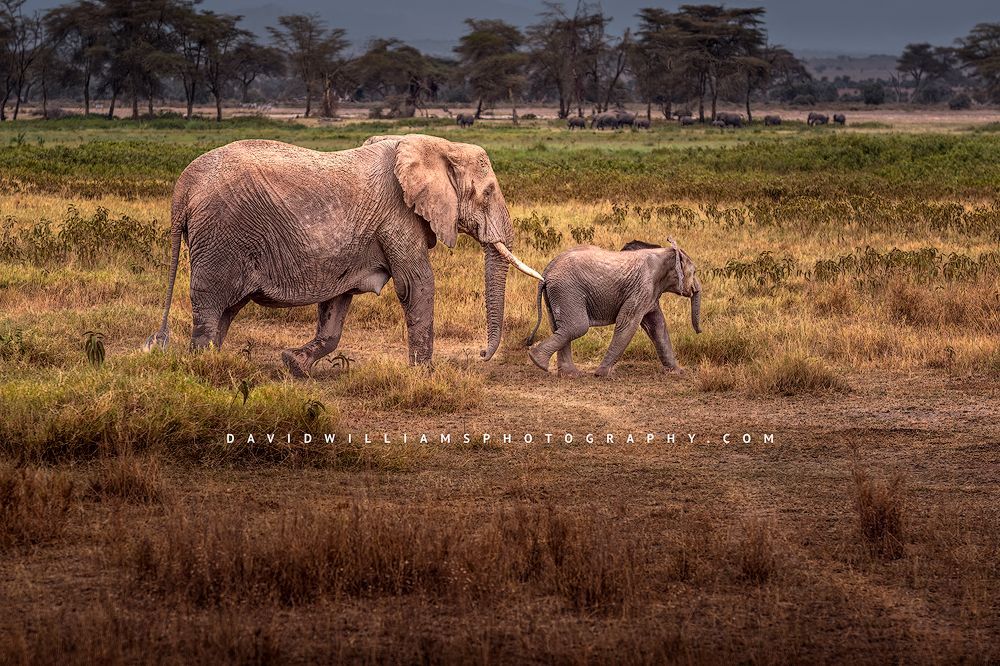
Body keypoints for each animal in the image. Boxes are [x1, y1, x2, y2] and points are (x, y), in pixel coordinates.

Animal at [143, 134, 543, 376]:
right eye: (487, 193)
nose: (481, 355)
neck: (438, 145)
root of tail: (183, 187)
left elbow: (336, 303)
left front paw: (294, 366)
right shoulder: (397, 216)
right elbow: (416, 285)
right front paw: (424, 375)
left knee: (226, 309)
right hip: (222, 236)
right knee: (212, 304)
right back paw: (204, 368)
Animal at [525, 238, 701, 377]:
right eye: (694, 272)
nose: (699, 332)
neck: (665, 251)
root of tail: (547, 270)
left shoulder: (650, 293)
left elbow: (658, 326)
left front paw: (678, 373)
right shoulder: (642, 287)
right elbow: (628, 323)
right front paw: (601, 374)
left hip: (557, 292)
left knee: (559, 327)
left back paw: (568, 373)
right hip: (567, 289)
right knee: (577, 327)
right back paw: (537, 360)